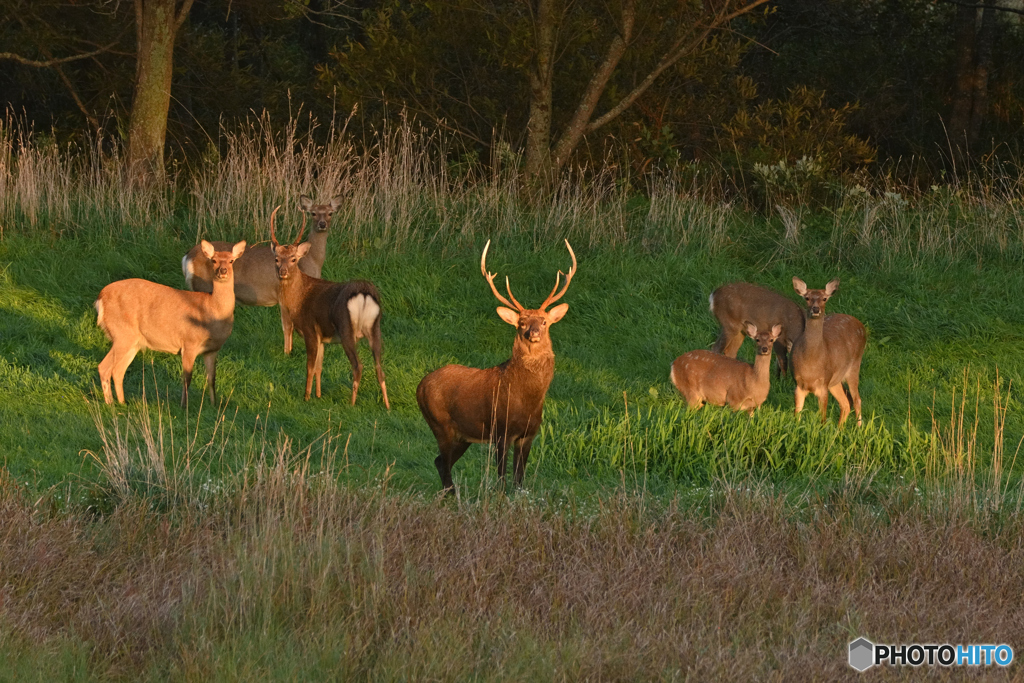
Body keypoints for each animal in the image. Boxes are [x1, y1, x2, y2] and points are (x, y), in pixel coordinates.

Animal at [94, 240, 245, 405]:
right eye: (214, 260)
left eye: (231, 260)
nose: (223, 271)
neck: (212, 309)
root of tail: (100, 298)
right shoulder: (189, 342)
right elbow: (187, 378)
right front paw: (183, 406)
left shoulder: (212, 349)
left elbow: (212, 379)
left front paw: (214, 405)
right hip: (122, 333)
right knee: (104, 367)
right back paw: (110, 404)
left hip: (133, 342)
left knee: (118, 370)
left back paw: (122, 403)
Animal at [181, 192, 344, 352]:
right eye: (313, 213)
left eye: (330, 213)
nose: (322, 224)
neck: (311, 261)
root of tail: (187, 256)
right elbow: (288, 327)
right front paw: (288, 353)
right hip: (204, 287)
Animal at [268, 208, 391, 409]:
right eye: (277, 259)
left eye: (294, 259)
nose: (282, 272)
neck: (298, 298)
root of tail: (364, 291)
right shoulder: (322, 338)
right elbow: (319, 367)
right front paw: (318, 395)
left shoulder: (310, 330)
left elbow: (310, 366)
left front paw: (306, 397)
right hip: (376, 328)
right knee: (379, 367)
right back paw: (387, 406)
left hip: (346, 327)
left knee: (358, 366)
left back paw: (352, 403)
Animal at [415, 237, 577, 493]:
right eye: (521, 323)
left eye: (544, 321)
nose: (533, 332)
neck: (527, 398)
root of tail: (419, 386)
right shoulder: (501, 430)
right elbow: (501, 478)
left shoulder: (529, 434)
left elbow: (519, 479)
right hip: (440, 423)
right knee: (443, 462)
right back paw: (452, 493)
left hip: (463, 435)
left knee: (440, 461)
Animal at [786, 278, 868, 428]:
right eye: (807, 298)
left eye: (824, 298)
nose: (815, 309)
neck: (811, 362)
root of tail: (860, 325)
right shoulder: (798, 384)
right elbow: (797, 414)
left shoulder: (823, 384)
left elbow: (822, 418)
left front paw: (822, 430)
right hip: (835, 380)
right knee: (846, 402)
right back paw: (839, 429)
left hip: (854, 366)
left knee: (856, 399)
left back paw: (859, 428)